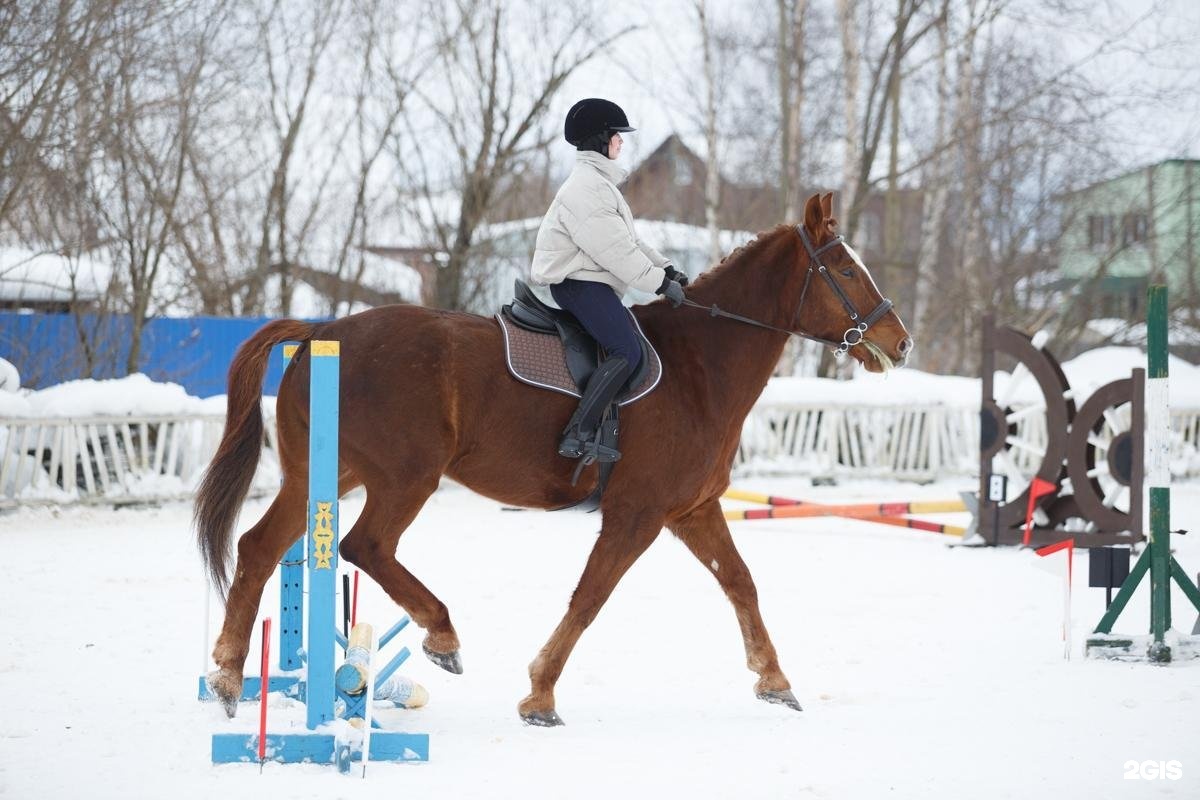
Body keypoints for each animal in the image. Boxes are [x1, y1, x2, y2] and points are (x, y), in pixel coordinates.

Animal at [196, 194, 907, 724]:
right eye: (845, 270)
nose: (898, 342)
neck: (699, 367)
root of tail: (322, 331)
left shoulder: (692, 512)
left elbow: (741, 583)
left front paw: (775, 680)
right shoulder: (637, 515)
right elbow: (590, 597)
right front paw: (540, 695)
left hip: (326, 476)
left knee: (260, 548)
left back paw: (228, 677)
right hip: (404, 479)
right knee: (365, 547)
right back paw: (442, 636)